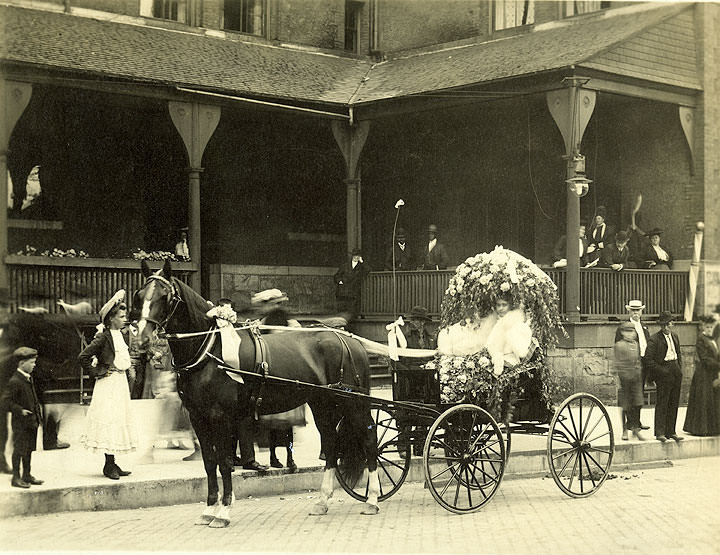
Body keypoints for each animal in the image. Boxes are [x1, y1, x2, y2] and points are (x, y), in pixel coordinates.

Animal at [136, 262, 382, 528]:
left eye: (164, 296)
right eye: (139, 295)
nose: (142, 338)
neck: (210, 350)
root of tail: (350, 340)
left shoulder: (221, 416)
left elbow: (224, 462)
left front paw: (223, 511)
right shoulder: (198, 417)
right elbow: (209, 462)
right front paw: (209, 508)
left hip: (354, 404)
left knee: (369, 441)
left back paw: (372, 499)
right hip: (322, 404)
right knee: (330, 443)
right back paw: (323, 500)